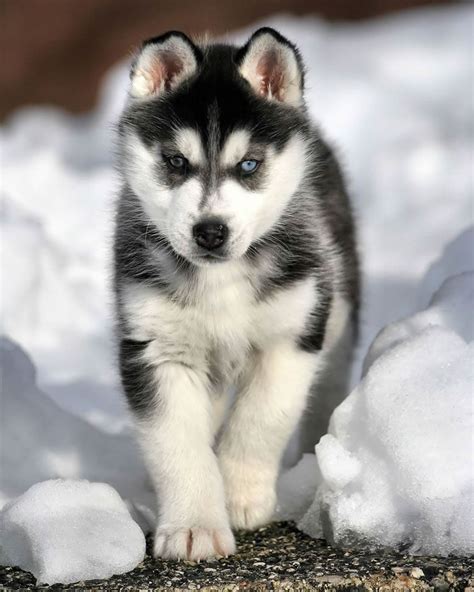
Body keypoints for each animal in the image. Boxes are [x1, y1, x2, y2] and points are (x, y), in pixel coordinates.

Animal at [115, 27, 360, 560]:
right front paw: (193, 525)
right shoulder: (157, 348)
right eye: (175, 162)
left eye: (248, 165)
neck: (219, 280)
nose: (210, 231)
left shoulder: (292, 335)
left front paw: (240, 495)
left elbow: (261, 418)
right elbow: (177, 441)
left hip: (338, 312)